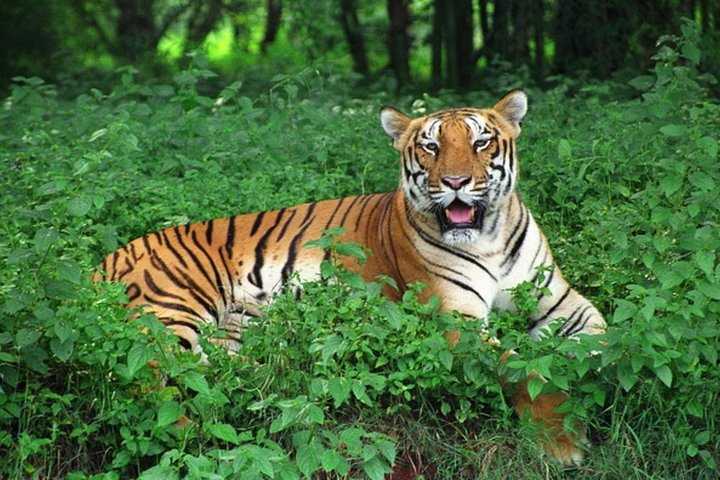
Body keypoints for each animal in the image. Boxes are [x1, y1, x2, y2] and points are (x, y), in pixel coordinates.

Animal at [95, 90, 606, 465]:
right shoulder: (453, 322)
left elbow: (603, 342)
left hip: (236, 329)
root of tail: (106, 258)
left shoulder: (564, 304)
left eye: (481, 143)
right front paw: (561, 444)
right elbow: (524, 368)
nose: (456, 182)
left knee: (222, 372)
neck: (489, 237)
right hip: (172, 310)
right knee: (146, 379)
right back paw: (188, 429)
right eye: (431, 146)